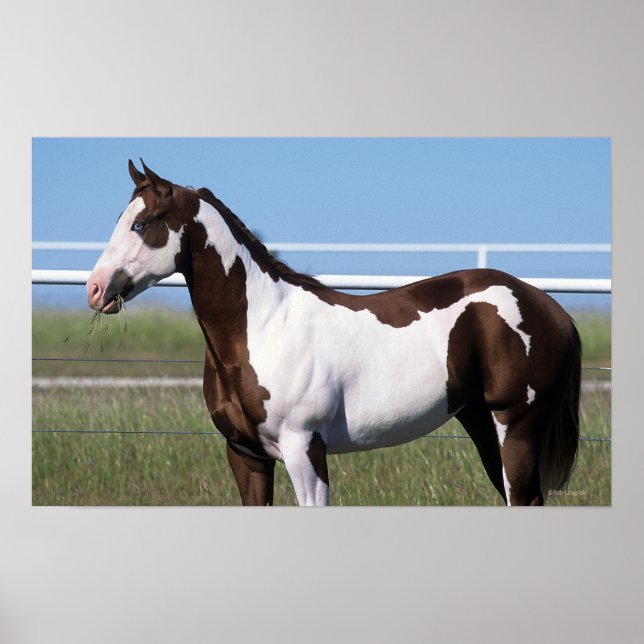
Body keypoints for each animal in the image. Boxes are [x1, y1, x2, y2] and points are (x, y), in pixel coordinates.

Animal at [86, 160, 581, 506]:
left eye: (140, 224)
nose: (95, 289)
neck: (262, 327)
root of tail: (551, 308)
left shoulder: (304, 447)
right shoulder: (246, 455)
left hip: (516, 429)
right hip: (482, 425)